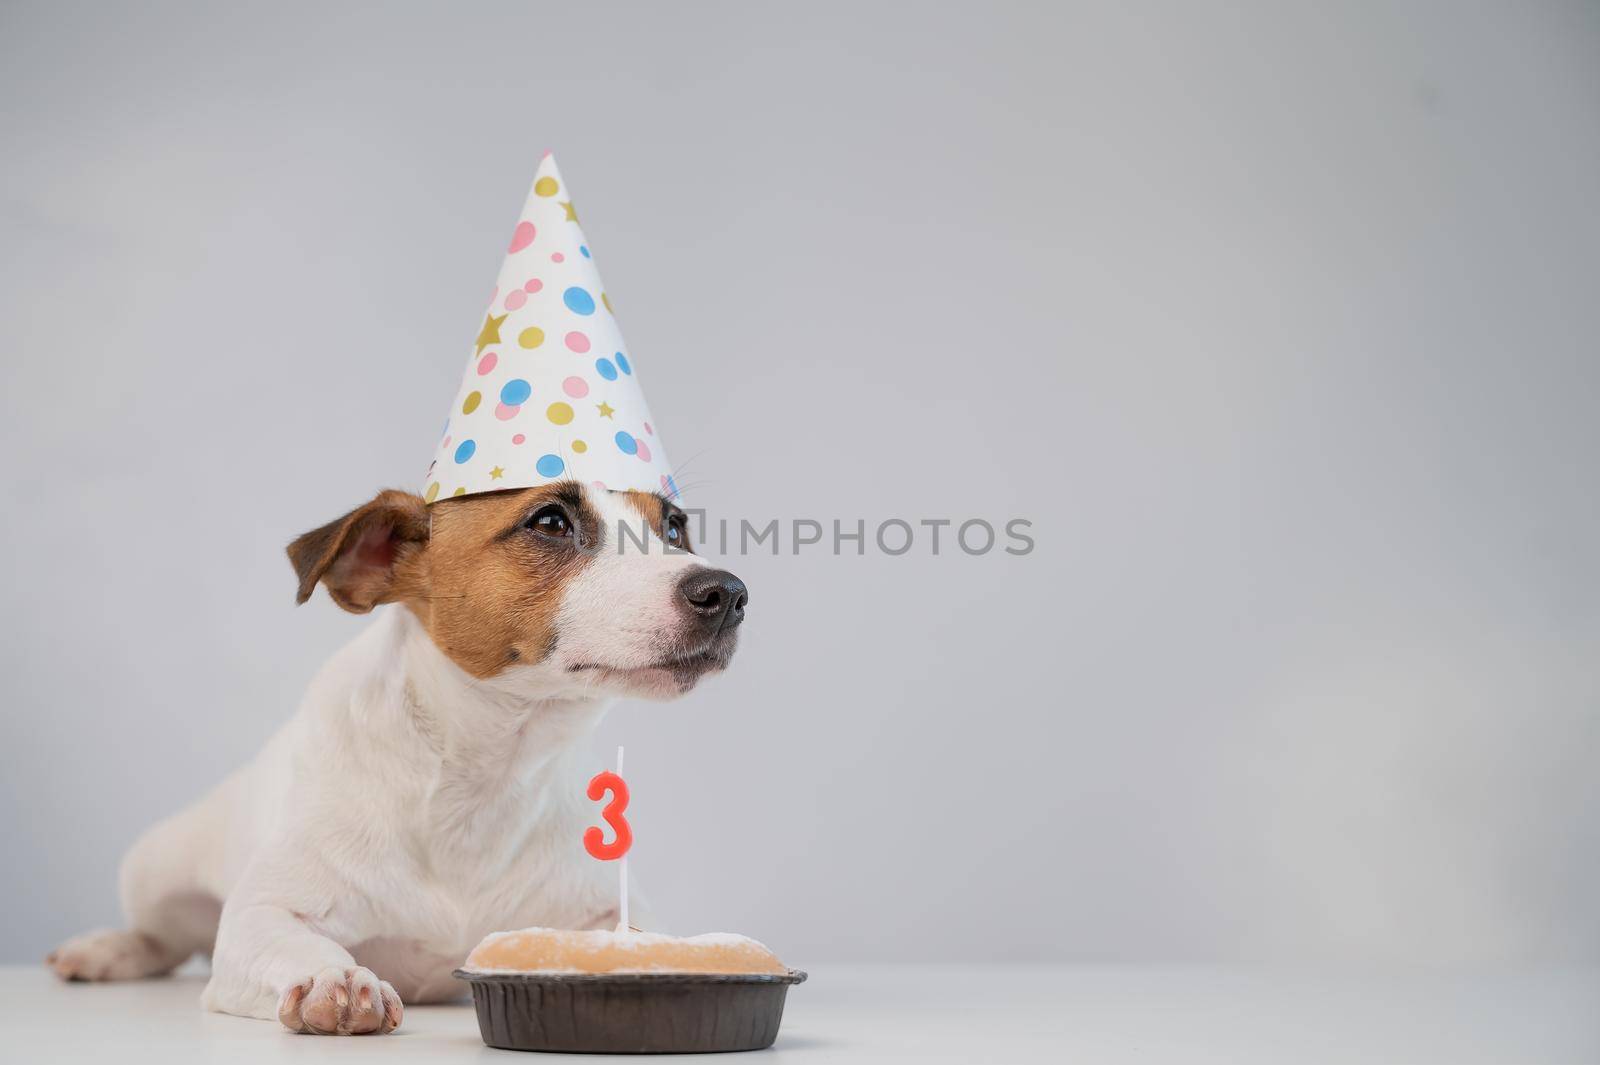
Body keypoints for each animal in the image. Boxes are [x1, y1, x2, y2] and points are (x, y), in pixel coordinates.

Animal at [46, 479, 745, 1029]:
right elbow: (292, 941)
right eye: (551, 521)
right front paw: (336, 980)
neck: (486, 774)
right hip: (153, 870)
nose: (728, 594)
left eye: (675, 527)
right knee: (163, 936)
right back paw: (105, 950)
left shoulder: (605, 910)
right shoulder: (259, 918)